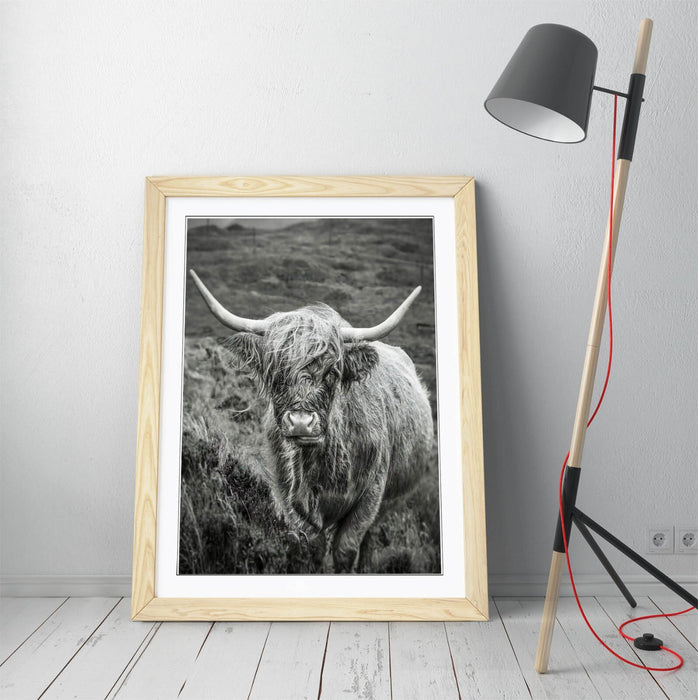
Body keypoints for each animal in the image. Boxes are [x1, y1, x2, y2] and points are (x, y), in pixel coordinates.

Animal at [189, 269, 434, 573]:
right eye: (275, 372)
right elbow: (312, 547)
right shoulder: (287, 495)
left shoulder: (371, 495)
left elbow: (346, 549)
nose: (300, 422)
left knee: (371, 539)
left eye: (332, 372)